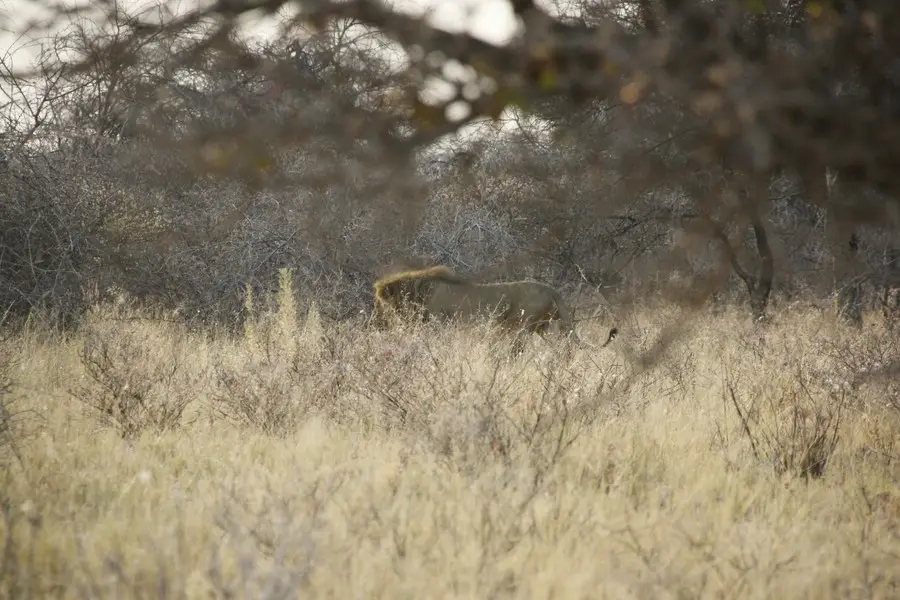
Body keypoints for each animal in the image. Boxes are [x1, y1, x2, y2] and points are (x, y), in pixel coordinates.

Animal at [371, 265, 617, 354]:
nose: (376, 323)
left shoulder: (439, 326)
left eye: (380, 304)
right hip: (542, 328)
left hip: (521, 327)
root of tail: (553, 290)